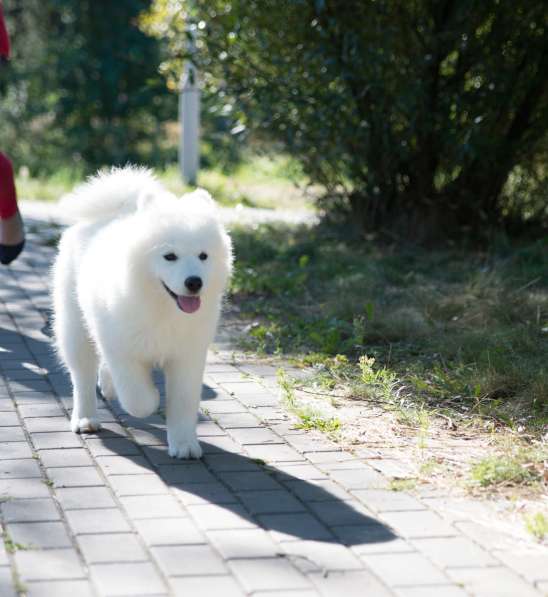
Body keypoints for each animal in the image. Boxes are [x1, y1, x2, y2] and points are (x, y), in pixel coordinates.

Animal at [53, 165, 235, 458]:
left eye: (203, 256)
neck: (163, 308)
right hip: (75, 326)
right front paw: (152, 399)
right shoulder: (121, 349)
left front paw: (184, 444)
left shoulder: (188, 355)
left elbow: (184, 402)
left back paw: (107, 388)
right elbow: (138, 398)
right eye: (169, 256)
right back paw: (85, 418)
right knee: (82, 374)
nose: (194, 282)